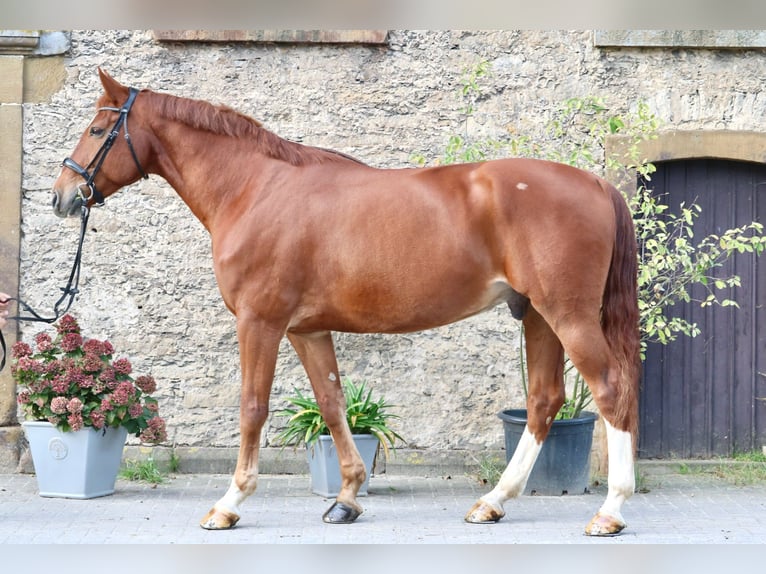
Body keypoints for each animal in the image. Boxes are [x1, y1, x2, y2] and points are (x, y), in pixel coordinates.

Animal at [51, 70, 640, 536]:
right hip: (537, 315)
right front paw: (347, 499)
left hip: (567, 315)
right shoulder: (305, 329)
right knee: (544, 400)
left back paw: (610, 512)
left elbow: (252, 407)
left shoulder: (260, 322)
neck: (253, 188)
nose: (61, 196)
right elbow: (332, 404)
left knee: (611, 389)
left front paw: (229, 503)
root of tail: (595, 182)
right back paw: (493, 502)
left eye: (98, 130)